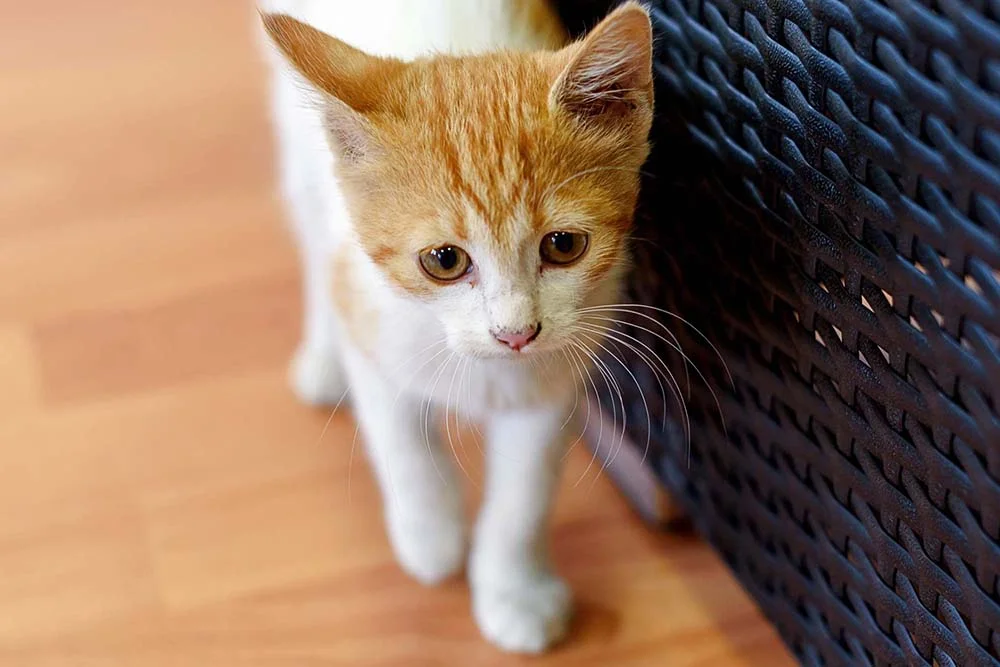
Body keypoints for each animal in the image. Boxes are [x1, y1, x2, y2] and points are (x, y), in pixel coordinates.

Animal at [258, 0, 656, 656]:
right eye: (443, 261)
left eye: (564, 246)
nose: (516, 332)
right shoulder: (369, 316)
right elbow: (399, 439)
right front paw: (432, 533)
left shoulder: (555, 376)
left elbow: (524, 495)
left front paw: (514, 593)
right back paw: (320, 358)